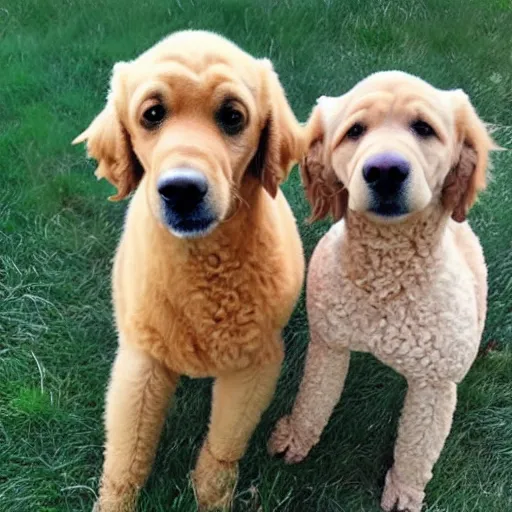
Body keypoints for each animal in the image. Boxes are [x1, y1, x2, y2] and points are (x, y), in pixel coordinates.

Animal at [72, 31, 304, 512]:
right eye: (152, 114)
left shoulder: (255, 364)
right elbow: (127, 456)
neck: (203, 263)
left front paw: (212, 495)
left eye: (233, 116)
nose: (182, 189)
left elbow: (223, 446)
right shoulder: (141, 361)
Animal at [268, 71, 496, 512]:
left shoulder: (435, 384)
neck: (386, 285)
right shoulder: (329, 344)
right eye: (355, 131)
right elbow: (314, 398)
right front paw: (295, 439)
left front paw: (404, 491)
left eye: (423, 128)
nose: (386, 171)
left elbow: (417, 447)